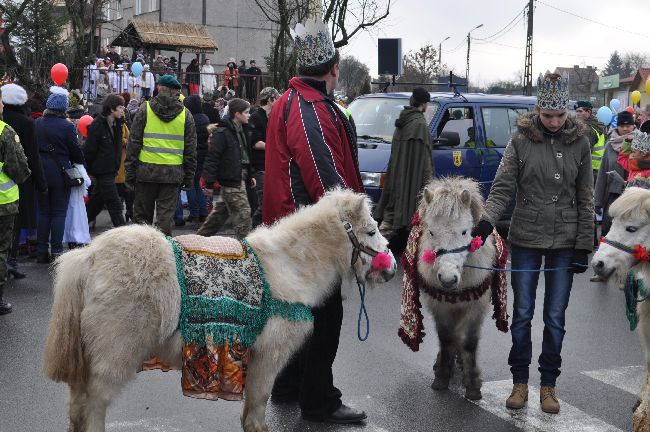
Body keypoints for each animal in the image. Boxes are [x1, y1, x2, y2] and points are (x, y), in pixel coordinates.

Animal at [43, 190, 394, 432]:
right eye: (371, 231)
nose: (390, 269)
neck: (288, 267)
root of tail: (89, 257)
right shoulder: (268, 359)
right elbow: (256, 410)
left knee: (77, 407)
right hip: (114, 357)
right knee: (92, 408)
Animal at [398, 177, 508, 400]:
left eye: (465, 231)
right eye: (431, 232)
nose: (448, 279)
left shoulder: (475, 306)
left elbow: (469, 342)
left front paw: (472, 384)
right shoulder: (441, 307)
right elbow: (446, 338)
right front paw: (441, 376)